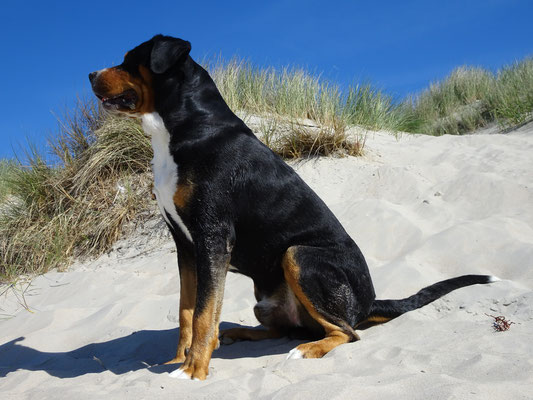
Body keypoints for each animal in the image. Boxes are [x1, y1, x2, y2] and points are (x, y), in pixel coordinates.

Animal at [88, 35, 498, 382]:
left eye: (129, 59)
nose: (90, 73)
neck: (183, 127)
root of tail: (368, 303)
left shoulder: (212, 238)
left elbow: (204, 314)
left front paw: (193, 371)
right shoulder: (185, 245)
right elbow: (188, 311)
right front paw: (179, 359)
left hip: (299, 255)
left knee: (345, 333)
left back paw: (306, 348)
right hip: (266, 300)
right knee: (281, 329)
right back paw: (238, 332)